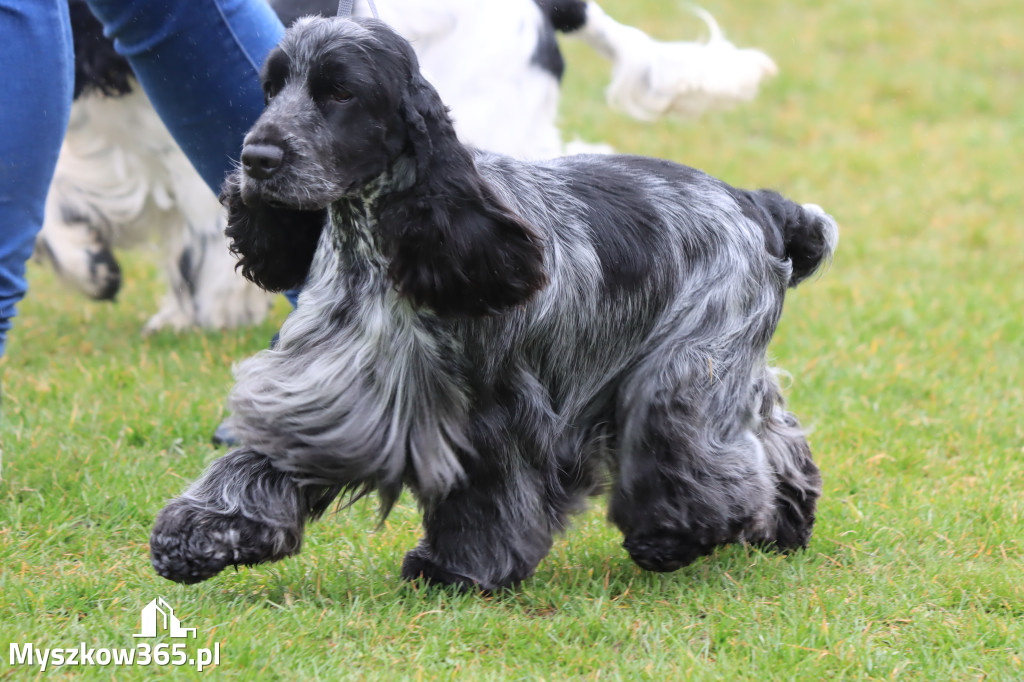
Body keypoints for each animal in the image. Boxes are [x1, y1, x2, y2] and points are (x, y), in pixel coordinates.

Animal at [149, 17, 839, 589]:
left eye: (339, 92)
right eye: (271, 88)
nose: (256, 159)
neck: (378, 246)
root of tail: (757, 203)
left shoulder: (498, 409)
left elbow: (488, 494)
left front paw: (456, 570)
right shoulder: (328, 389)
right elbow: (265, 454)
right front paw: (194, 535)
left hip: (691, 366)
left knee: (700, 451)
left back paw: (677, 537)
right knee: (774, 430)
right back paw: (788, 520)